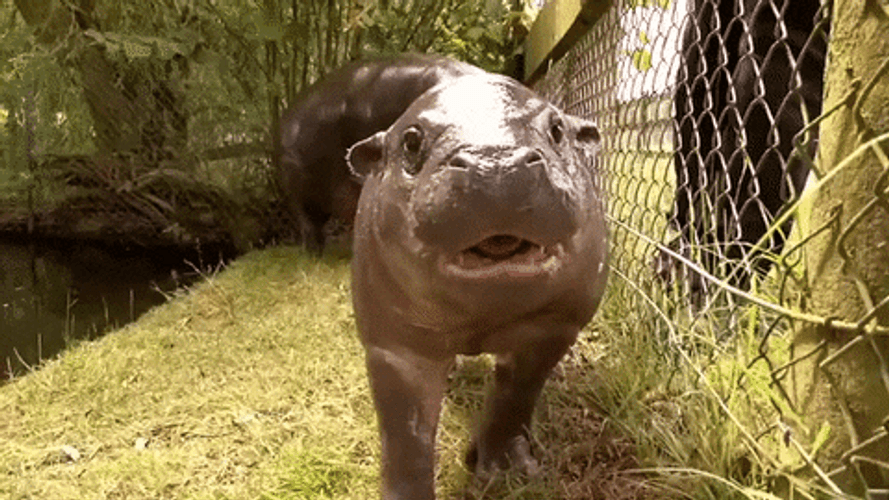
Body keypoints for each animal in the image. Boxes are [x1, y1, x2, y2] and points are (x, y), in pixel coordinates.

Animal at [347, 71, 608, 499]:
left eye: (557, 129)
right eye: (411, 141)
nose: (496, 164)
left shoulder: (553, 327)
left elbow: (515, 398)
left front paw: (505, 469)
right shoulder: (395, 347)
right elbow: (406, 435)